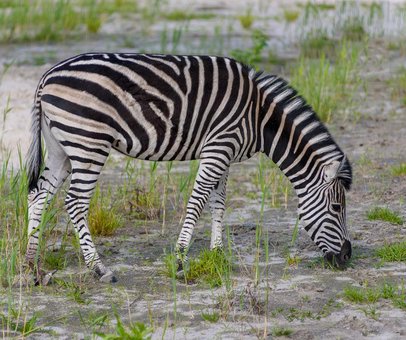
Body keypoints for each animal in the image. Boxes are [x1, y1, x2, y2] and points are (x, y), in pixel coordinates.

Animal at [24, 53, 352, 286]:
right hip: (88, 143)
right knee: (75, 202)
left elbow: (219, 203)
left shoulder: (224, 153)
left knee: (38, 196)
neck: (258, 117)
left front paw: (218, 254)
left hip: (61, 148)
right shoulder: (218, 146)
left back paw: (32, 266)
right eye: (337, 207)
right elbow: (198, 201)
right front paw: (181, 260)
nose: (348, 256)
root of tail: (47, 76)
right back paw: (99, 268)